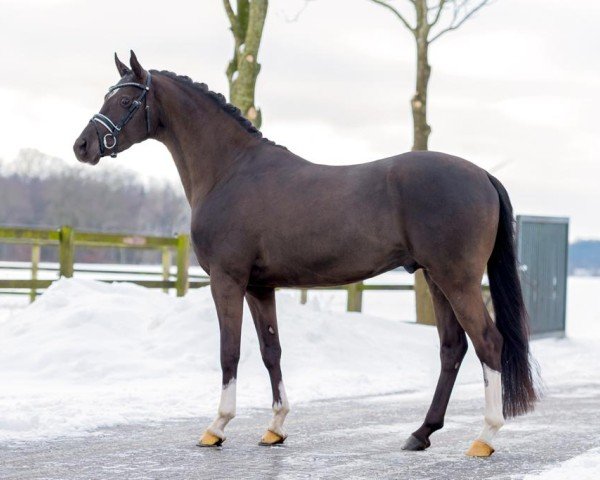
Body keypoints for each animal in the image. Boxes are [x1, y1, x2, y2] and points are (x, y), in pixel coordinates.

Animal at [74, 52, 540, 458]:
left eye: (126, 100)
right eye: (108, 96)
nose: (83, 146)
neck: (230, 171)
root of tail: (481, 175)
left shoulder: (227, 280)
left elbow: (230, 351)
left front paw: (217, 427)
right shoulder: (260, 287)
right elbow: (270, 351)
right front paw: (275, 428)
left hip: (456, 279)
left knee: (487, 342)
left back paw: (484, 437)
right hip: (434, 278)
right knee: (452, 349)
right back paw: (421, 433)